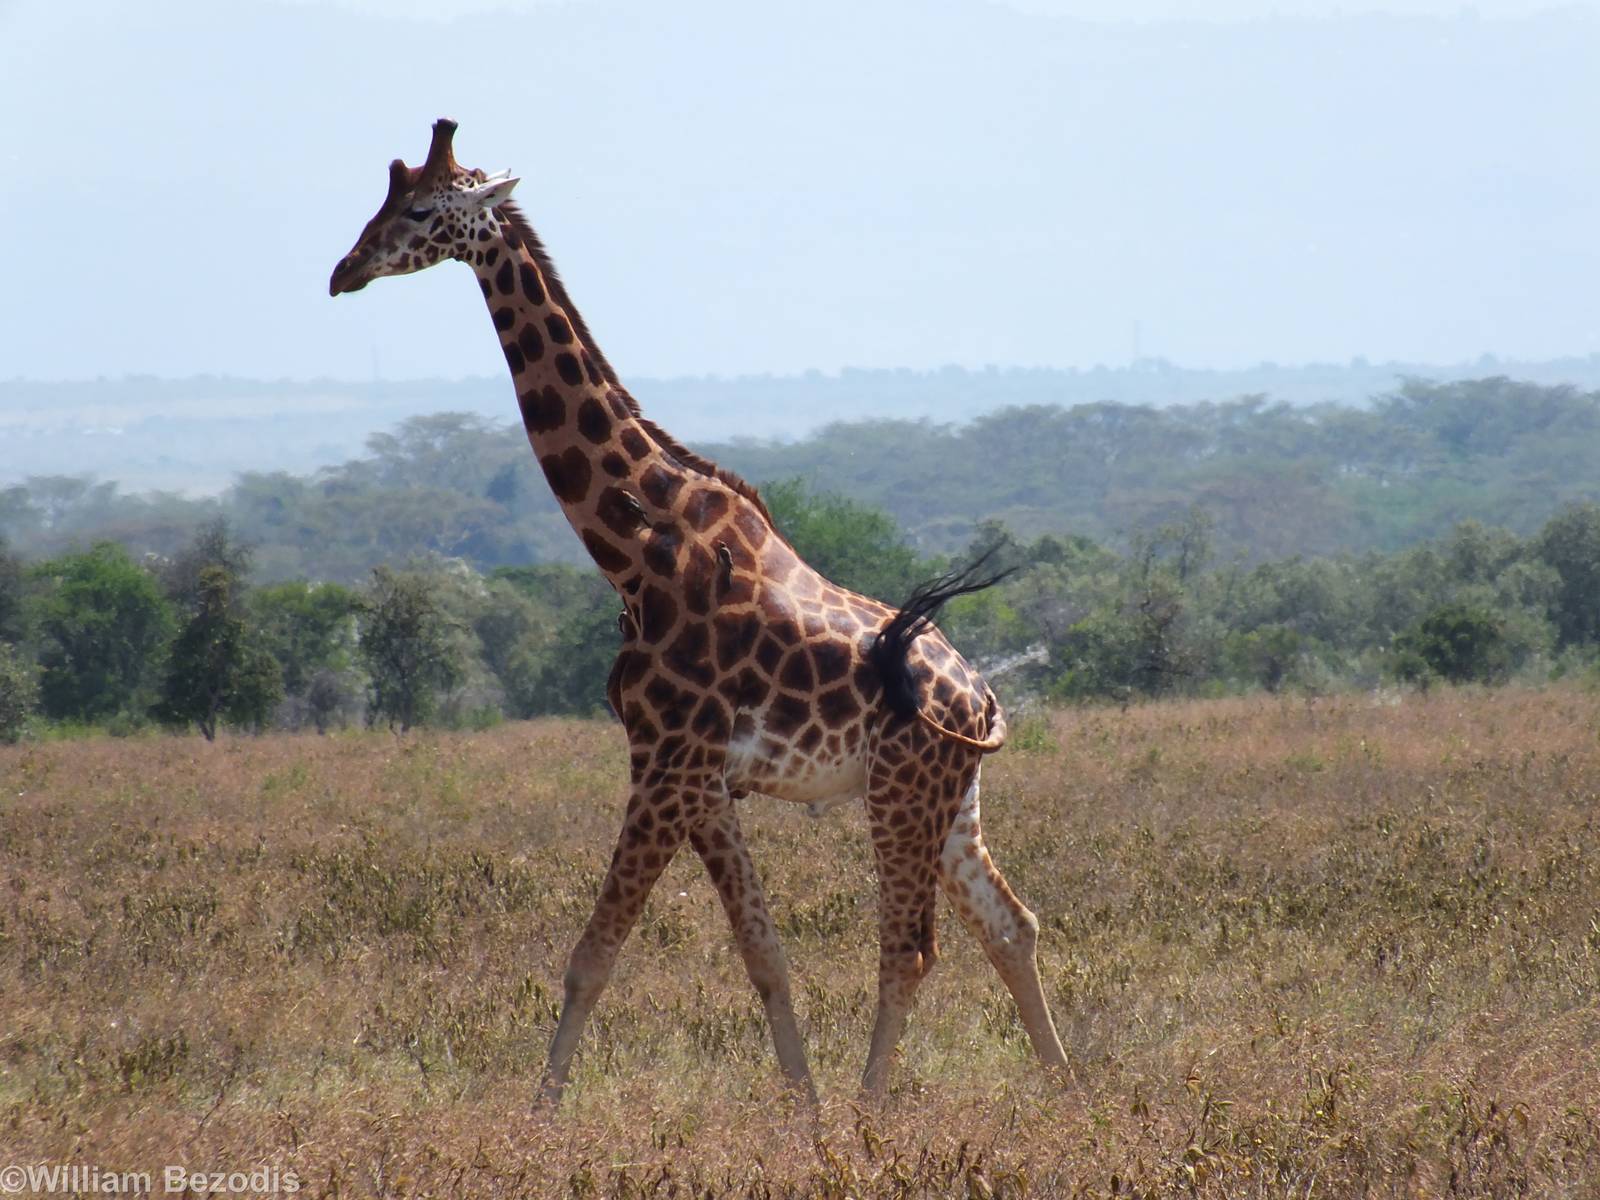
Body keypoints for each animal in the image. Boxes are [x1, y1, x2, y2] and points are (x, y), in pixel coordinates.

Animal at [329, 119, 1071, 1105]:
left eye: (416, 211)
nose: (343, 272)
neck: (635, 548)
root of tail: (983, 701)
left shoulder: (663, 763)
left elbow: (591, 957)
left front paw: (537, 1119)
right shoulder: (704, 780)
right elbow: (764, 957)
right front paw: (804, 1116)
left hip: (900, 792)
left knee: (910, 951)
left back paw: (876, 1115)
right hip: (953, 800)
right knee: (1011, 924)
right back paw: (1070, 1097)